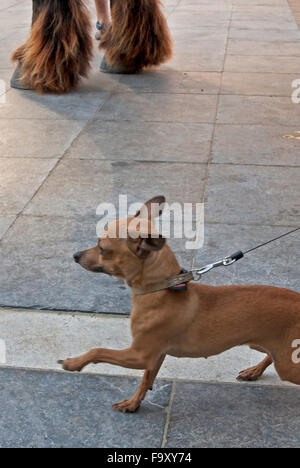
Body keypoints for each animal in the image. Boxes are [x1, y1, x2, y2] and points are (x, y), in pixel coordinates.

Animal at [59, 196, 300, 412]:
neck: (162, 289)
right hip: (271, 348)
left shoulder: (140, 355)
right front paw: (133, 403)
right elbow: (146, 380)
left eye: (102, 248)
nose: (75, 255)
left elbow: (98, 350)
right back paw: (254, 370)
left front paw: (74, 362)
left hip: (287, 363)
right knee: (270, 355)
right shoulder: (155, 356)